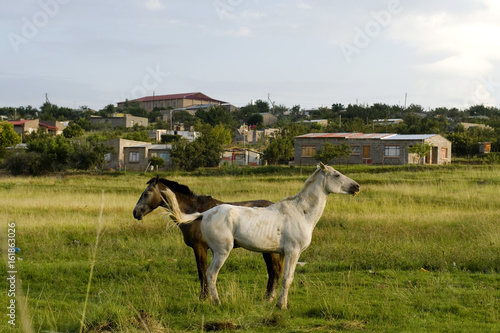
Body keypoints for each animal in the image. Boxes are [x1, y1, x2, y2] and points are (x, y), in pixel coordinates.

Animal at [133, 176, 284, 300]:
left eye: (146, 193)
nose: (136, 212)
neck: (195, 212)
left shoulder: (199, 248)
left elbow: (202, 272)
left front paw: (204, 297)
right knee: (272, 271)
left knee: (275, 270)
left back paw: (269, 297)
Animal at [167, 163, 360, 308]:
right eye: (336, 175)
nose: (357, 187)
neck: (301, 212)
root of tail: (205, 213)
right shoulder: (293, 252)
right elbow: (287, 279)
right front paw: (281, 306)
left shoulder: (284, 253)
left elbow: (281, 276)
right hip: (222, 251)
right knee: (211, 274)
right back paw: (217, 302)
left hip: (215, 251)